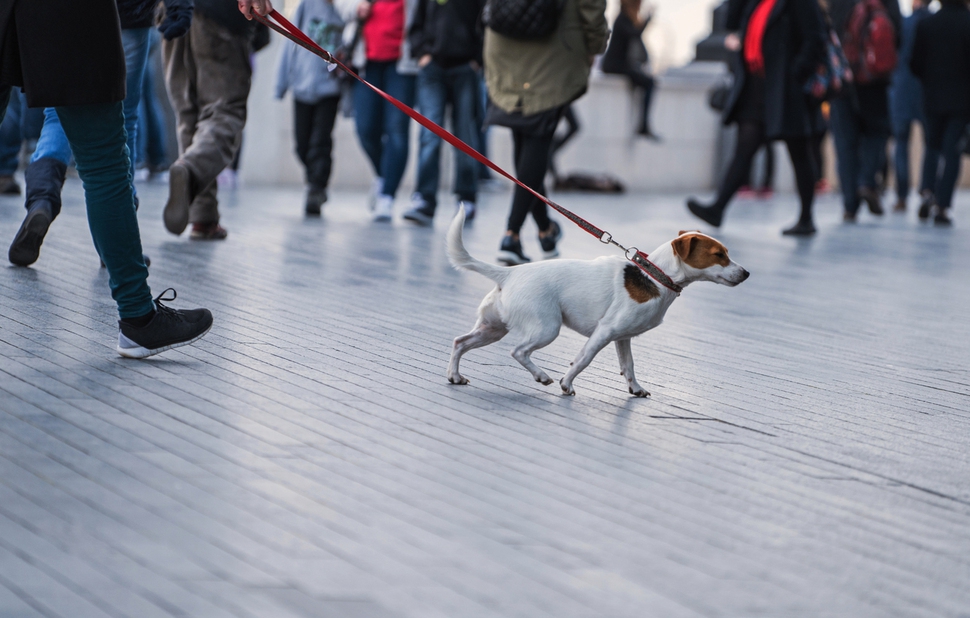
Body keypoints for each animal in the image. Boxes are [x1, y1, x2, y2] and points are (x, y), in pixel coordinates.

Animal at [444, 209, 748, 394]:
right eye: (719, 254)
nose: (746, 273)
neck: (655, 275)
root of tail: (509, 273)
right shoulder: (605, 331)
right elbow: (583, 360)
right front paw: (567, 383)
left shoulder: (622, 337)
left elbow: (628, 366)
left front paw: (635, 389)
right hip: (547, 328)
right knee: (518, 352)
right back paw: (541, 375)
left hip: (492, 329)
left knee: (460, 342)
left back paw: (454, 376)